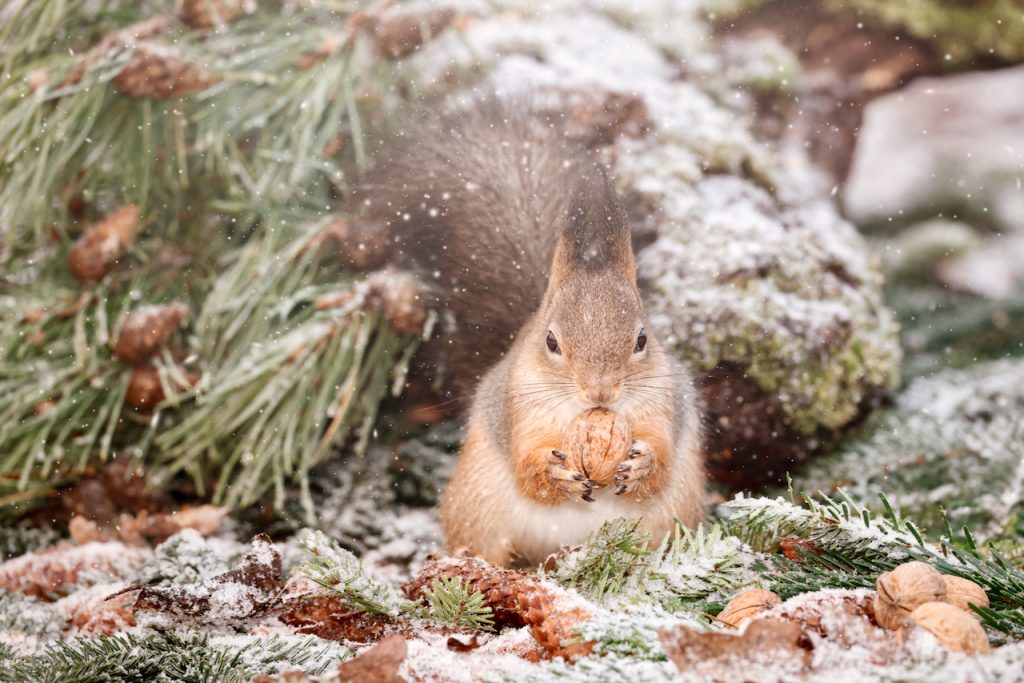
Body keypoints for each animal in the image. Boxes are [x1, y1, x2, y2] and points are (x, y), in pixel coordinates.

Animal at [358, 96, 704, 565]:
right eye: (551, 342)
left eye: (642, 340)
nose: (600, 392)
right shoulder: (517, 408)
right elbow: (527, 468)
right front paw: (554, 472)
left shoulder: (666, 404)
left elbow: (662, 461)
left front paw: (643, 463)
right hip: (478, 504)